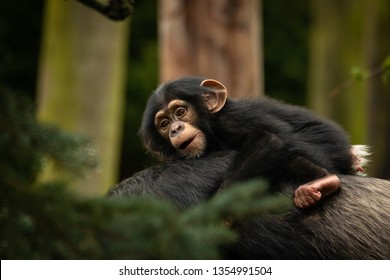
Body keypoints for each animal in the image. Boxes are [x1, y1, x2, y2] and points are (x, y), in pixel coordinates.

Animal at [141, 76, 368, 208]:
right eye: (164, 123)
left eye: (180, 111)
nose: (175, 128)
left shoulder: (234, 120)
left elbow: (270, 139)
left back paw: (324, 180)